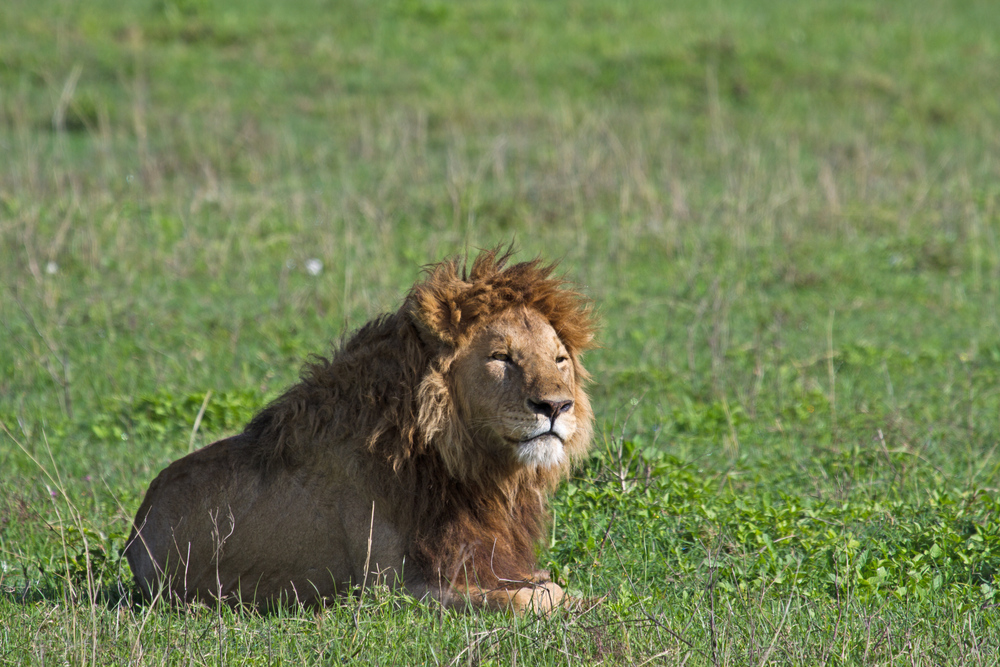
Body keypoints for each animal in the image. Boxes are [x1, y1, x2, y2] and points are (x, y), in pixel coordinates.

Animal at [124, 249, 592, 616]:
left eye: (559, 359)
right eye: (501, 357)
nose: (555, 406)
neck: (472, 469)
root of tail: (137, 528)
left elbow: (543, 582)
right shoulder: (390, 589)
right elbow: (534, 597)